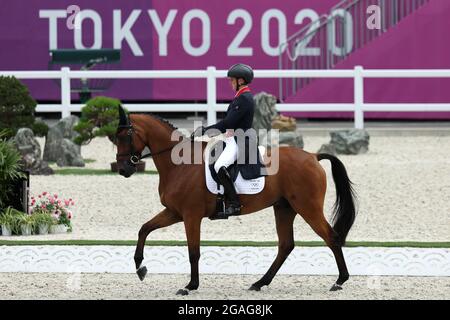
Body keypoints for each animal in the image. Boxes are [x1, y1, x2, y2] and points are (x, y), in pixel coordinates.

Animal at [114, 107, 356, 296]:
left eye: (125, 137)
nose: (124, 170)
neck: (179, 164)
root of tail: (313, 156)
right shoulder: (174, 212)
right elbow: (144, 229)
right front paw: (140, 268)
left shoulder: (191, 215)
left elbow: (193, 251)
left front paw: (190, 286)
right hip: (284, 208)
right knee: (286, 245)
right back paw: (259, 283)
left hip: (308, 207)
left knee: (331, 237)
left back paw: (339, 281)